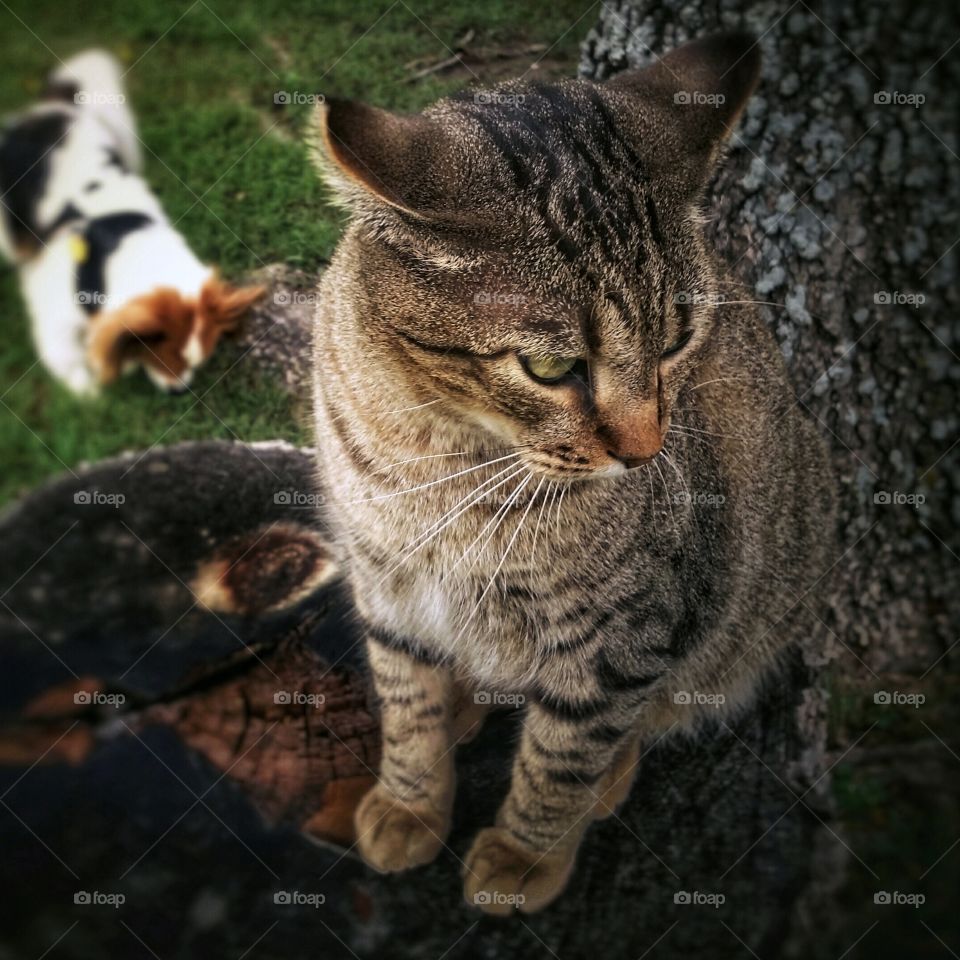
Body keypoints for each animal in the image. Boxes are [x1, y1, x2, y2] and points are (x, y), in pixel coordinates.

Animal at [0, 47, 262, 394]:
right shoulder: (54, 312)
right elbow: (66, 357)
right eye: (163, 355)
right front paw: (87, 392)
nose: (180, 390)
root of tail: (49, 108)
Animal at [310, 31, 832, 916]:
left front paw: (526, 855)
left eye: (674, 341)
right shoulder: (383, 586)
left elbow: (565, 755)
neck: (430, 452)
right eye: (551, 367)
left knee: (654, 713)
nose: (644, 449)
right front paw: (411, 801)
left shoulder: (625, 636)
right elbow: (406, 700)